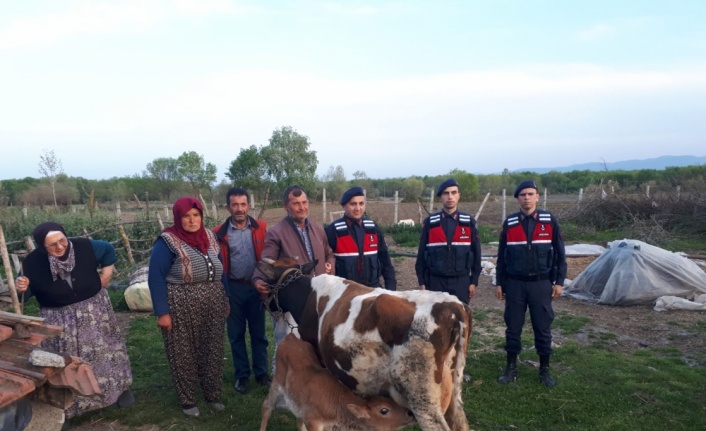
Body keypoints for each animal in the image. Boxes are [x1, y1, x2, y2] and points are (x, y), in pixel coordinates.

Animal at [256, 258, 470, 430]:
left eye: (268, 284)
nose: (264, 305)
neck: (309, 296)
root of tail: (453, 305)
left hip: (422, 398)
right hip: (453, 392)